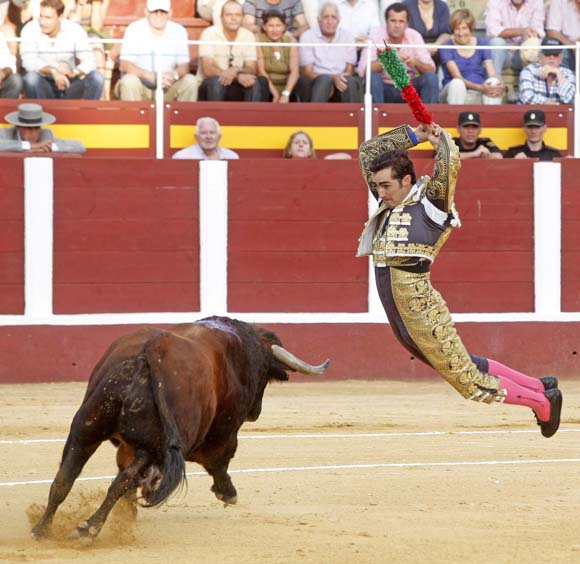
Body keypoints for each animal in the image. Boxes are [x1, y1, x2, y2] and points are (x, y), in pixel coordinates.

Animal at [31, 316, 328, 540]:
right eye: (265, 375)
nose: (255, 413)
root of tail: (152, 350)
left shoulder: (123, 444)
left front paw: (128, 516)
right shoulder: (223, 432)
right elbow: (220, 459)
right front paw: (228, 492)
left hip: (87, 428)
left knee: (66, 478)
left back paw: (42, 529)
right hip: (153, 445)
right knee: (121, 481)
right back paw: (88, 529)